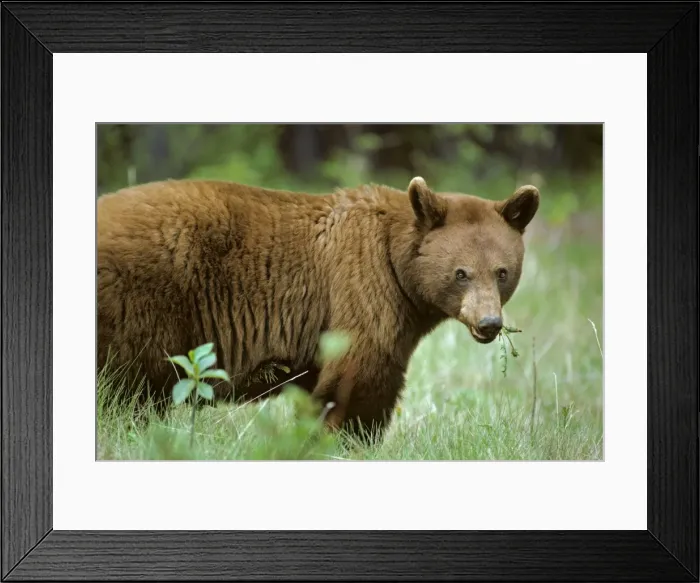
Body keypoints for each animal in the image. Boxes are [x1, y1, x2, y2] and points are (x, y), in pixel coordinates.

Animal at [96, 175, 539, 440]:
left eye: (502, 272)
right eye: (461, 273)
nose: (489, 323)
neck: (395, 261)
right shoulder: (361, 288)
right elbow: (358, 379)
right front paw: (345, 439)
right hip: (140, 305)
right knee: (127, 387)